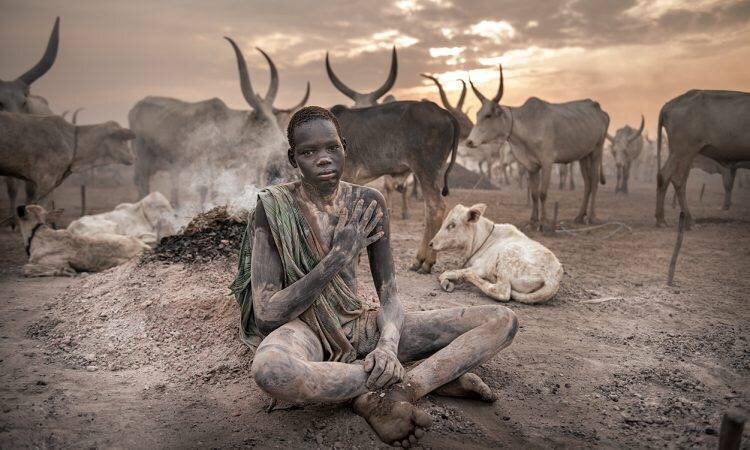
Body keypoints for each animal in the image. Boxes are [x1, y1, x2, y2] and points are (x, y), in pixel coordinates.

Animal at [130, 38, 307, 207]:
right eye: (263, 121)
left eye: (274, 119)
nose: (281, 146)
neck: (227, 128)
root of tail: (135, 107)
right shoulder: (206, 164)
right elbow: (205, 190)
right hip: (143, 157)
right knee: (143, 183)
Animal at [429, 203, 563, 304]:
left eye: (452, 225)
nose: (431, 243)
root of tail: (553, 279)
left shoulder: (481, 267)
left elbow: (446, 273)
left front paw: (447, 281)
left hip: (507, 257)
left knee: (502, 292)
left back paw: (471, 276)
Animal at [465, 65, 609, 228]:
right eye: (477, 114)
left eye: (488, 115)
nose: (469, 141)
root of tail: (599, 109)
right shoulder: (531, 166)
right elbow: (534, 194)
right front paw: (533, 220)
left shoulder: (547, 162)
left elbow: (542, 193)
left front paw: (544, 221)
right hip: (584, 156)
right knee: (587, 184)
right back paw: (579, 216)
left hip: (597, 151)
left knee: (595, 182)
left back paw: (591, 217)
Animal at [656, 90, 750, 228]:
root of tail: (668, 105)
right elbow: (728, 184)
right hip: (683, 151)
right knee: (675, 178)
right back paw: (685, 221)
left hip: (682, 154)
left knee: (669, 177)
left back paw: (663, 219)